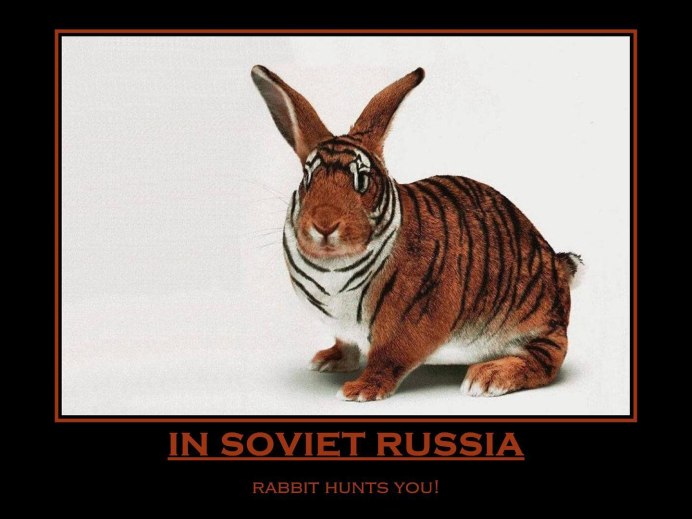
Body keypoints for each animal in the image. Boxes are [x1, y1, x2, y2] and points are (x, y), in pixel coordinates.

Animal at [251, 65, 581, 401]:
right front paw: (328, 360)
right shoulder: (344, 329)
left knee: (549, 358)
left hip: (534, 321)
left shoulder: (410, 322)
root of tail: (558, 267)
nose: (324, 224)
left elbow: (388, 357)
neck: (333, 270)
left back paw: (487, 377)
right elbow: (346, 343)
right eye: (307, 179)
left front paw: (360, 390)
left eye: (362, 180)